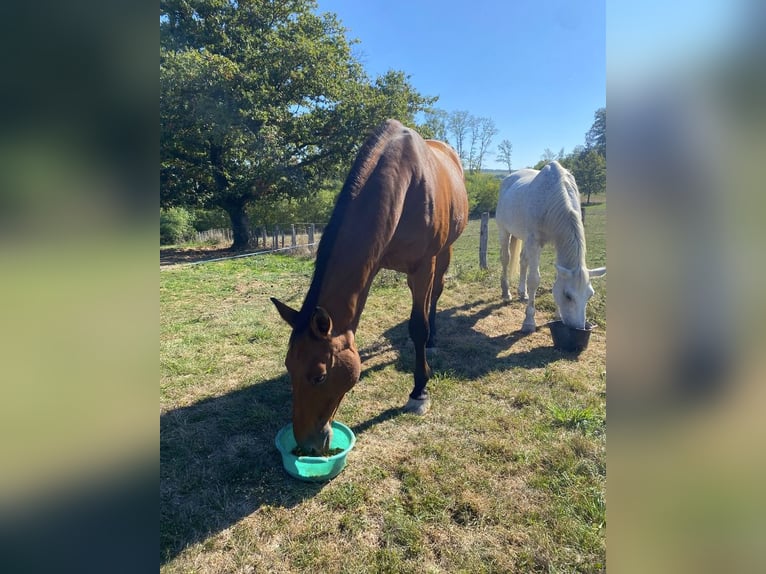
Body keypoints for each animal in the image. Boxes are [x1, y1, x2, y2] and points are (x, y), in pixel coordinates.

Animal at [271, 119, 468, 455]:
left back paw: (432, 341)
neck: (405, 184)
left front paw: (419, 391)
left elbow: (418, 325)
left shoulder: (422, 267)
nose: (306, 445)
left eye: (319, 377)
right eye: (288, 367)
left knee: (435, 296)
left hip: (444, 253)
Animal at [496, 161, 606, 333]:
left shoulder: (553, 242)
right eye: (568, 295)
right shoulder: (535, 242)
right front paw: (529, 322)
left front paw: (558, 316)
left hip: (525, 238)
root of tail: (508, 179)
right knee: (506, 258)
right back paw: (506, 293)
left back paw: (522, 293)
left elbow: (556, 276)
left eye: (590, 295)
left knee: (523, 261)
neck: (553, 197)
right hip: (504, 231)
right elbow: (534, 279)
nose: (578, 328)